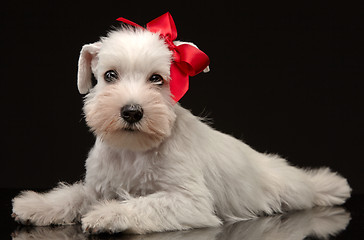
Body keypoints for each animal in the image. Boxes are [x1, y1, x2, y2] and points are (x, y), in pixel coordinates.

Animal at [12, 13, 352, 234]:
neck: (134, 151)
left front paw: (108, 214)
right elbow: (74, 194)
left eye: (156, 79)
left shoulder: (189, 202)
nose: (132, 112)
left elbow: (143, 204)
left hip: (287, 188)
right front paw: (36, 205)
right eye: (109, 75)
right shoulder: (98, 185)